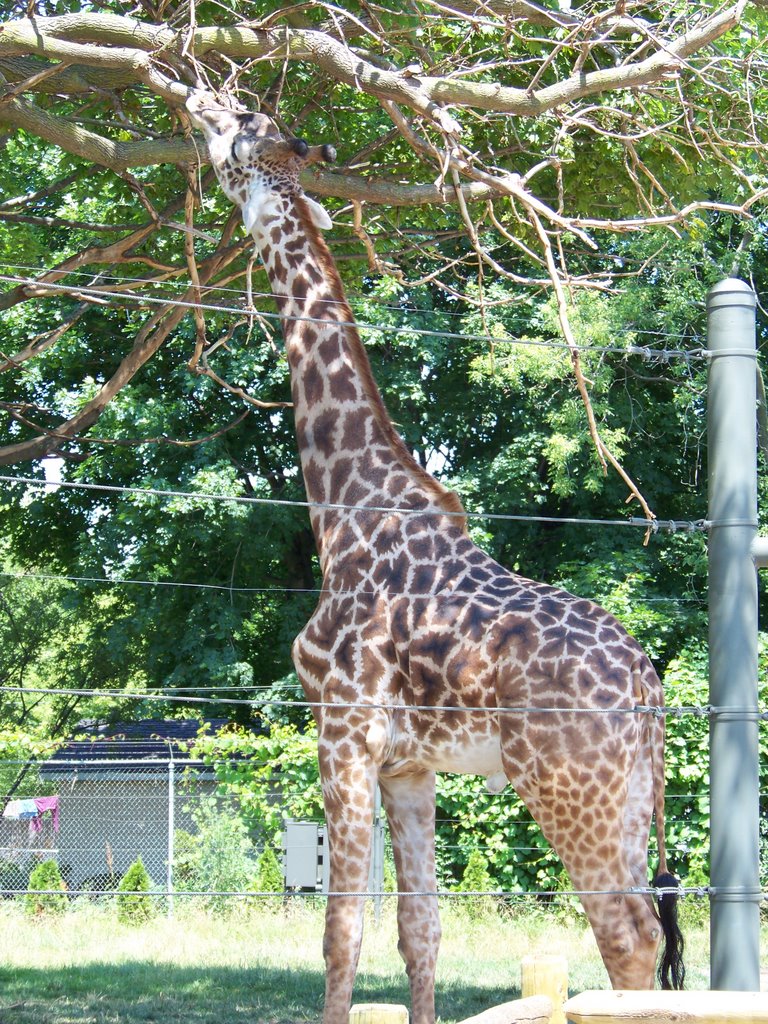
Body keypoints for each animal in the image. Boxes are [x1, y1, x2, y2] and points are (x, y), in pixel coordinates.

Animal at [185, 90, 684, 1024]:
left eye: (241, 127)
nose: (196, 95)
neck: (344, 510)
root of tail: (648, 684)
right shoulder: (411, 766)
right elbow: (421, 933)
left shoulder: (342, 730)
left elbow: (340, 933)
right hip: (632, 795)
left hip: (566, 789)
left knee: (628, 939)